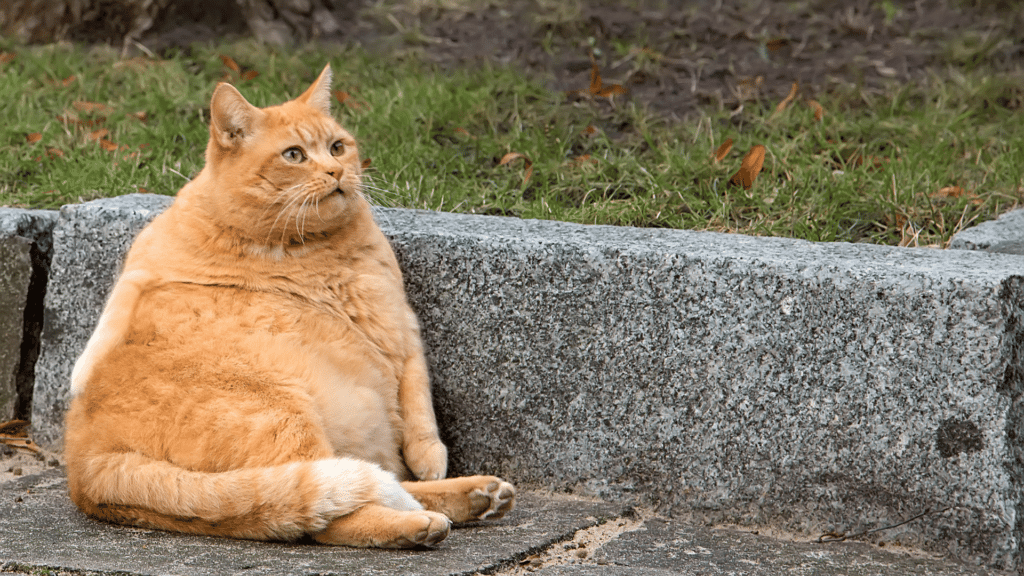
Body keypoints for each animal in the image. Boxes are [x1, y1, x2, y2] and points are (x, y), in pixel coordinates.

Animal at [60, 65, 516, 545]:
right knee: (331, 510)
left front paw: (429, 455)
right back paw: (419, 524)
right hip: (285, 416)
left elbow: (418, 397)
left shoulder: (401, 327)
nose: (336, 170)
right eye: (294, 155)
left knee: (373, 485)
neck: (298, 250)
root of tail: (84, 467)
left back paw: (475, 496)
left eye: (337, 147)